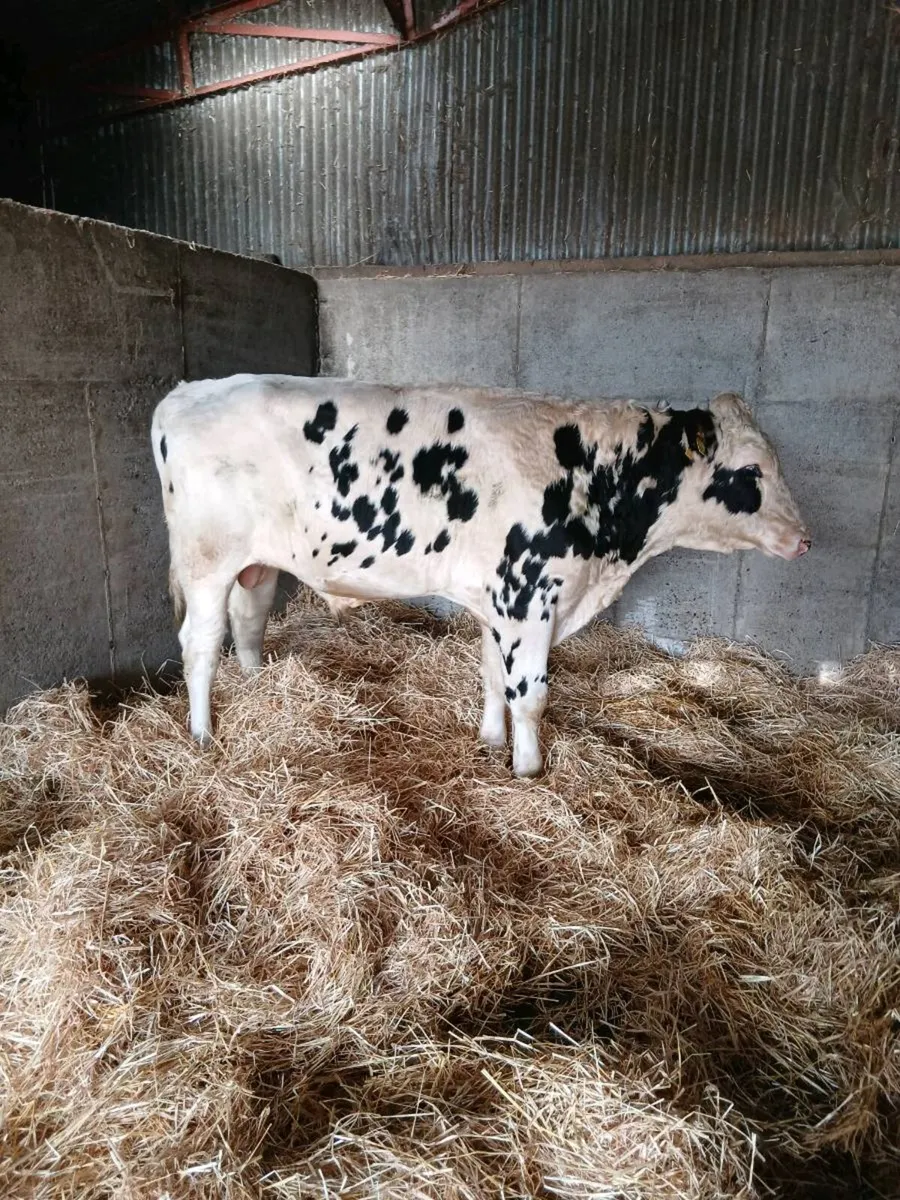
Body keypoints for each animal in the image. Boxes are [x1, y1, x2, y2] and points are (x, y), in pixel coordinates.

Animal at [151, 376, 810, 777]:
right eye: (752, 470)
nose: (804, 539)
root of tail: (184, 393)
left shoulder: (502, 600)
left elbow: (495, 675)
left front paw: (491, 743)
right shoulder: (530, 596)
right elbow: (530, 695)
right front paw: (529, 770)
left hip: (255, 562)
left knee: (248, 620)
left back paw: (259, 687)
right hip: (206, 562)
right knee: (200, 645)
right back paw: (203, 735)